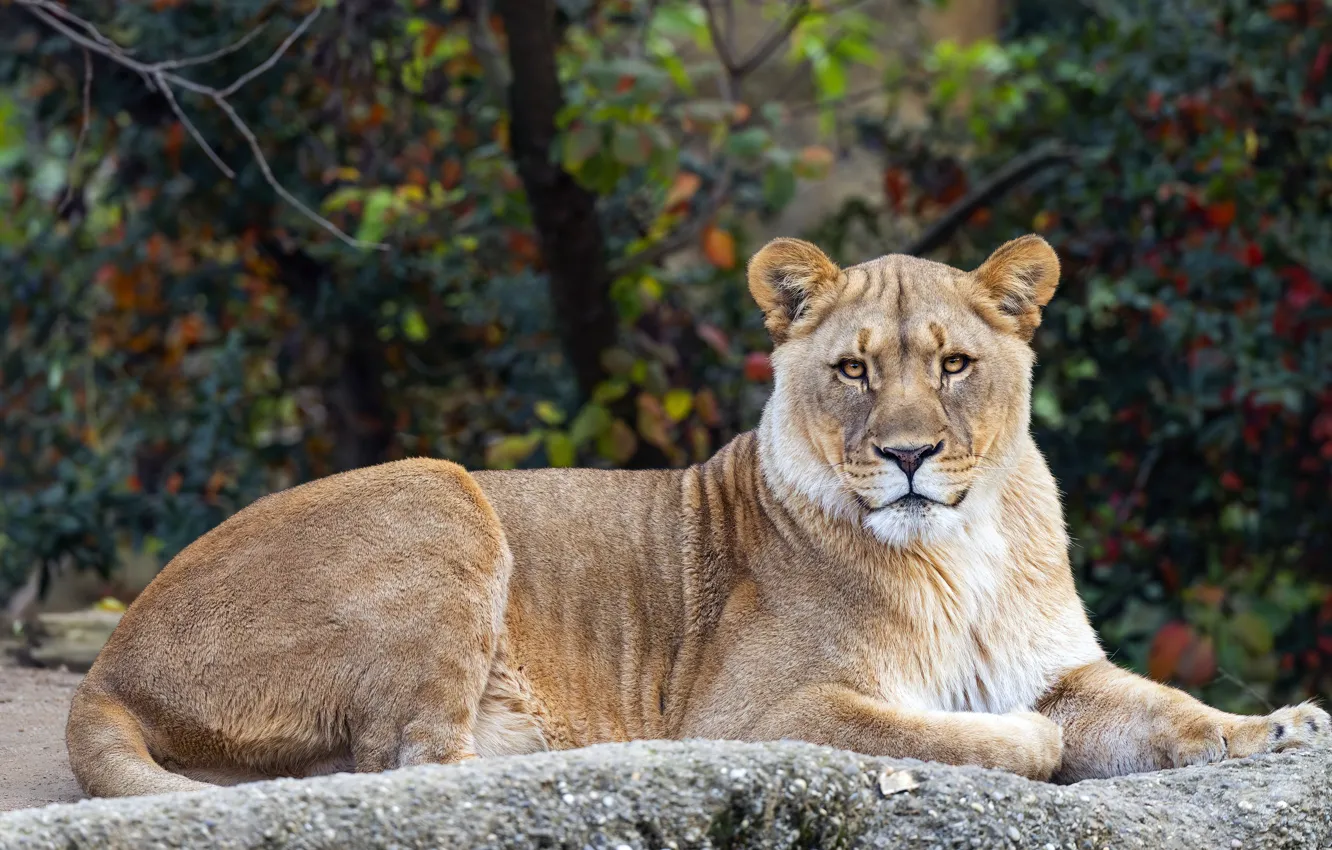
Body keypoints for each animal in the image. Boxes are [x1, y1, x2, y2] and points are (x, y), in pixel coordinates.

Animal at [66, 235, 1329, 798]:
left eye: (956, 364)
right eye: (855, 371)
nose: (910, 457)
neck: (960, 544)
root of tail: (109, 657)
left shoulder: (1064, 667)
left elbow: (1164, 708)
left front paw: (1279, 726)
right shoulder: (766, 708)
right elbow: (932, 728)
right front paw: (1019, 744)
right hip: (438, 488)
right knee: (403, 761)